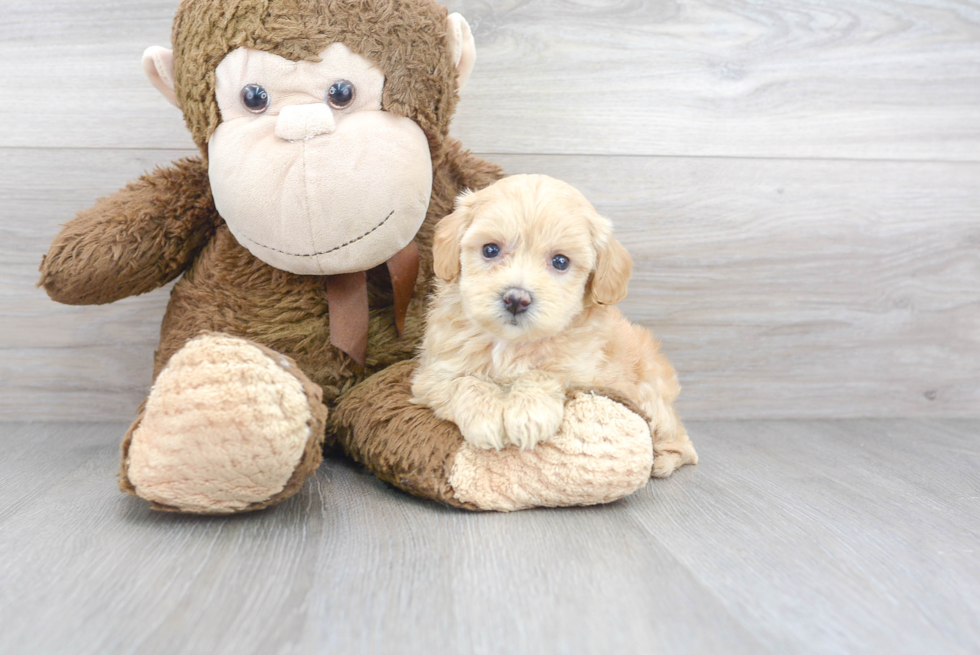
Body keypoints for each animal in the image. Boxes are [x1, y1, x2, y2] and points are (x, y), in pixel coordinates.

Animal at [410, 177, 700, 480]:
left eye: (560, 261)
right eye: (490, 250)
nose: (516, 299)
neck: (512, 343)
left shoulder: (582, 374)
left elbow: (541, 374)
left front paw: (528, 414)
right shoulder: (434, 374)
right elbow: (465, 381)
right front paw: (485, 417)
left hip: (651, 396)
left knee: (683, 442)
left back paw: (662, 460)